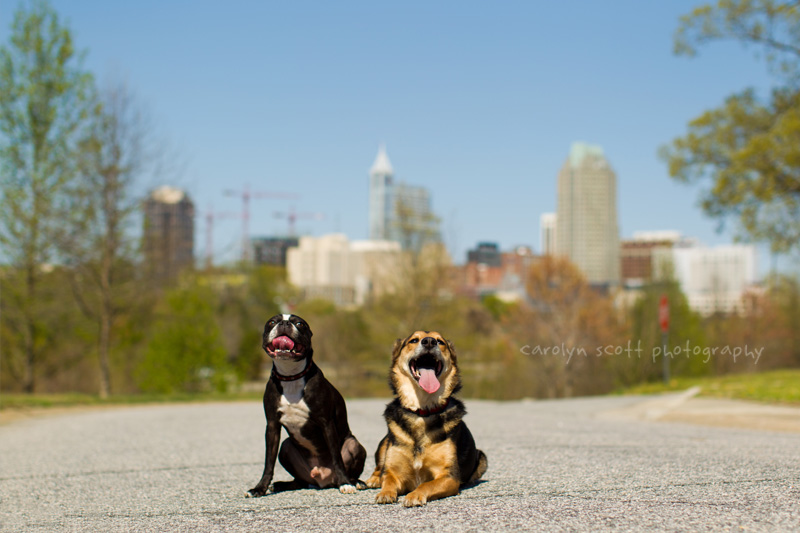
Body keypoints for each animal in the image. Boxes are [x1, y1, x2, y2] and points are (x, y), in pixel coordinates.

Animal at [248, 312, 368, 494]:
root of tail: (323, 480)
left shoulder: (327, 423)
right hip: (286, 448)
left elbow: (337, 457)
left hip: (353, 445)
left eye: (299, 324)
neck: (291, 377)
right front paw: (260, 488)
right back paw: (280, 485)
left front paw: (345, 483)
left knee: (349, 459)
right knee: (299, 480)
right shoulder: (272, 426)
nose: (284, 323)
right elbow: (269, 462)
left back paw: (354, 482)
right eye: (272, 322)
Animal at [364, 328, 488, 508]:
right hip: (385, 443)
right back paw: (373, 480)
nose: (429, 342)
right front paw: (385, 493)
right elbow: (388, 479)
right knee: (379, 468)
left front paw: (415, 495)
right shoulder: (394, 471)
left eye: (440, 341)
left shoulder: (448, 476)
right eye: (414, 340)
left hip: (482, 458)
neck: (422, 411)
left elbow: (426, 484)